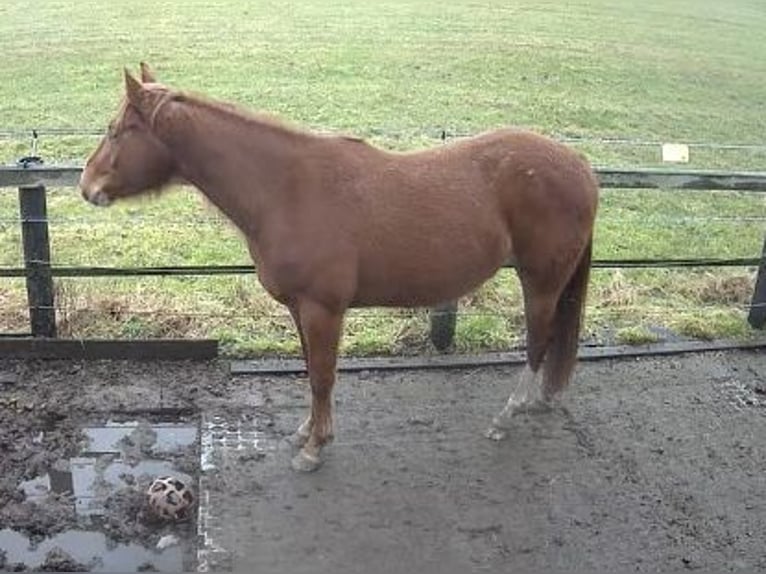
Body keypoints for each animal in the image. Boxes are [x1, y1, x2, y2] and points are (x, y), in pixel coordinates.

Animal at [80, 63, 599, 472]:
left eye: (114, 129)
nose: (87, 186)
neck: (286, 189)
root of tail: (578, 164)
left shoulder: (323, 309)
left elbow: (323, 377)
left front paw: (314, 449)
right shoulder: (299, 309)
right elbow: (311, 370)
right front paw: (307, 432)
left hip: (540, 281)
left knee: (537, 341)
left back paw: (506, 416)